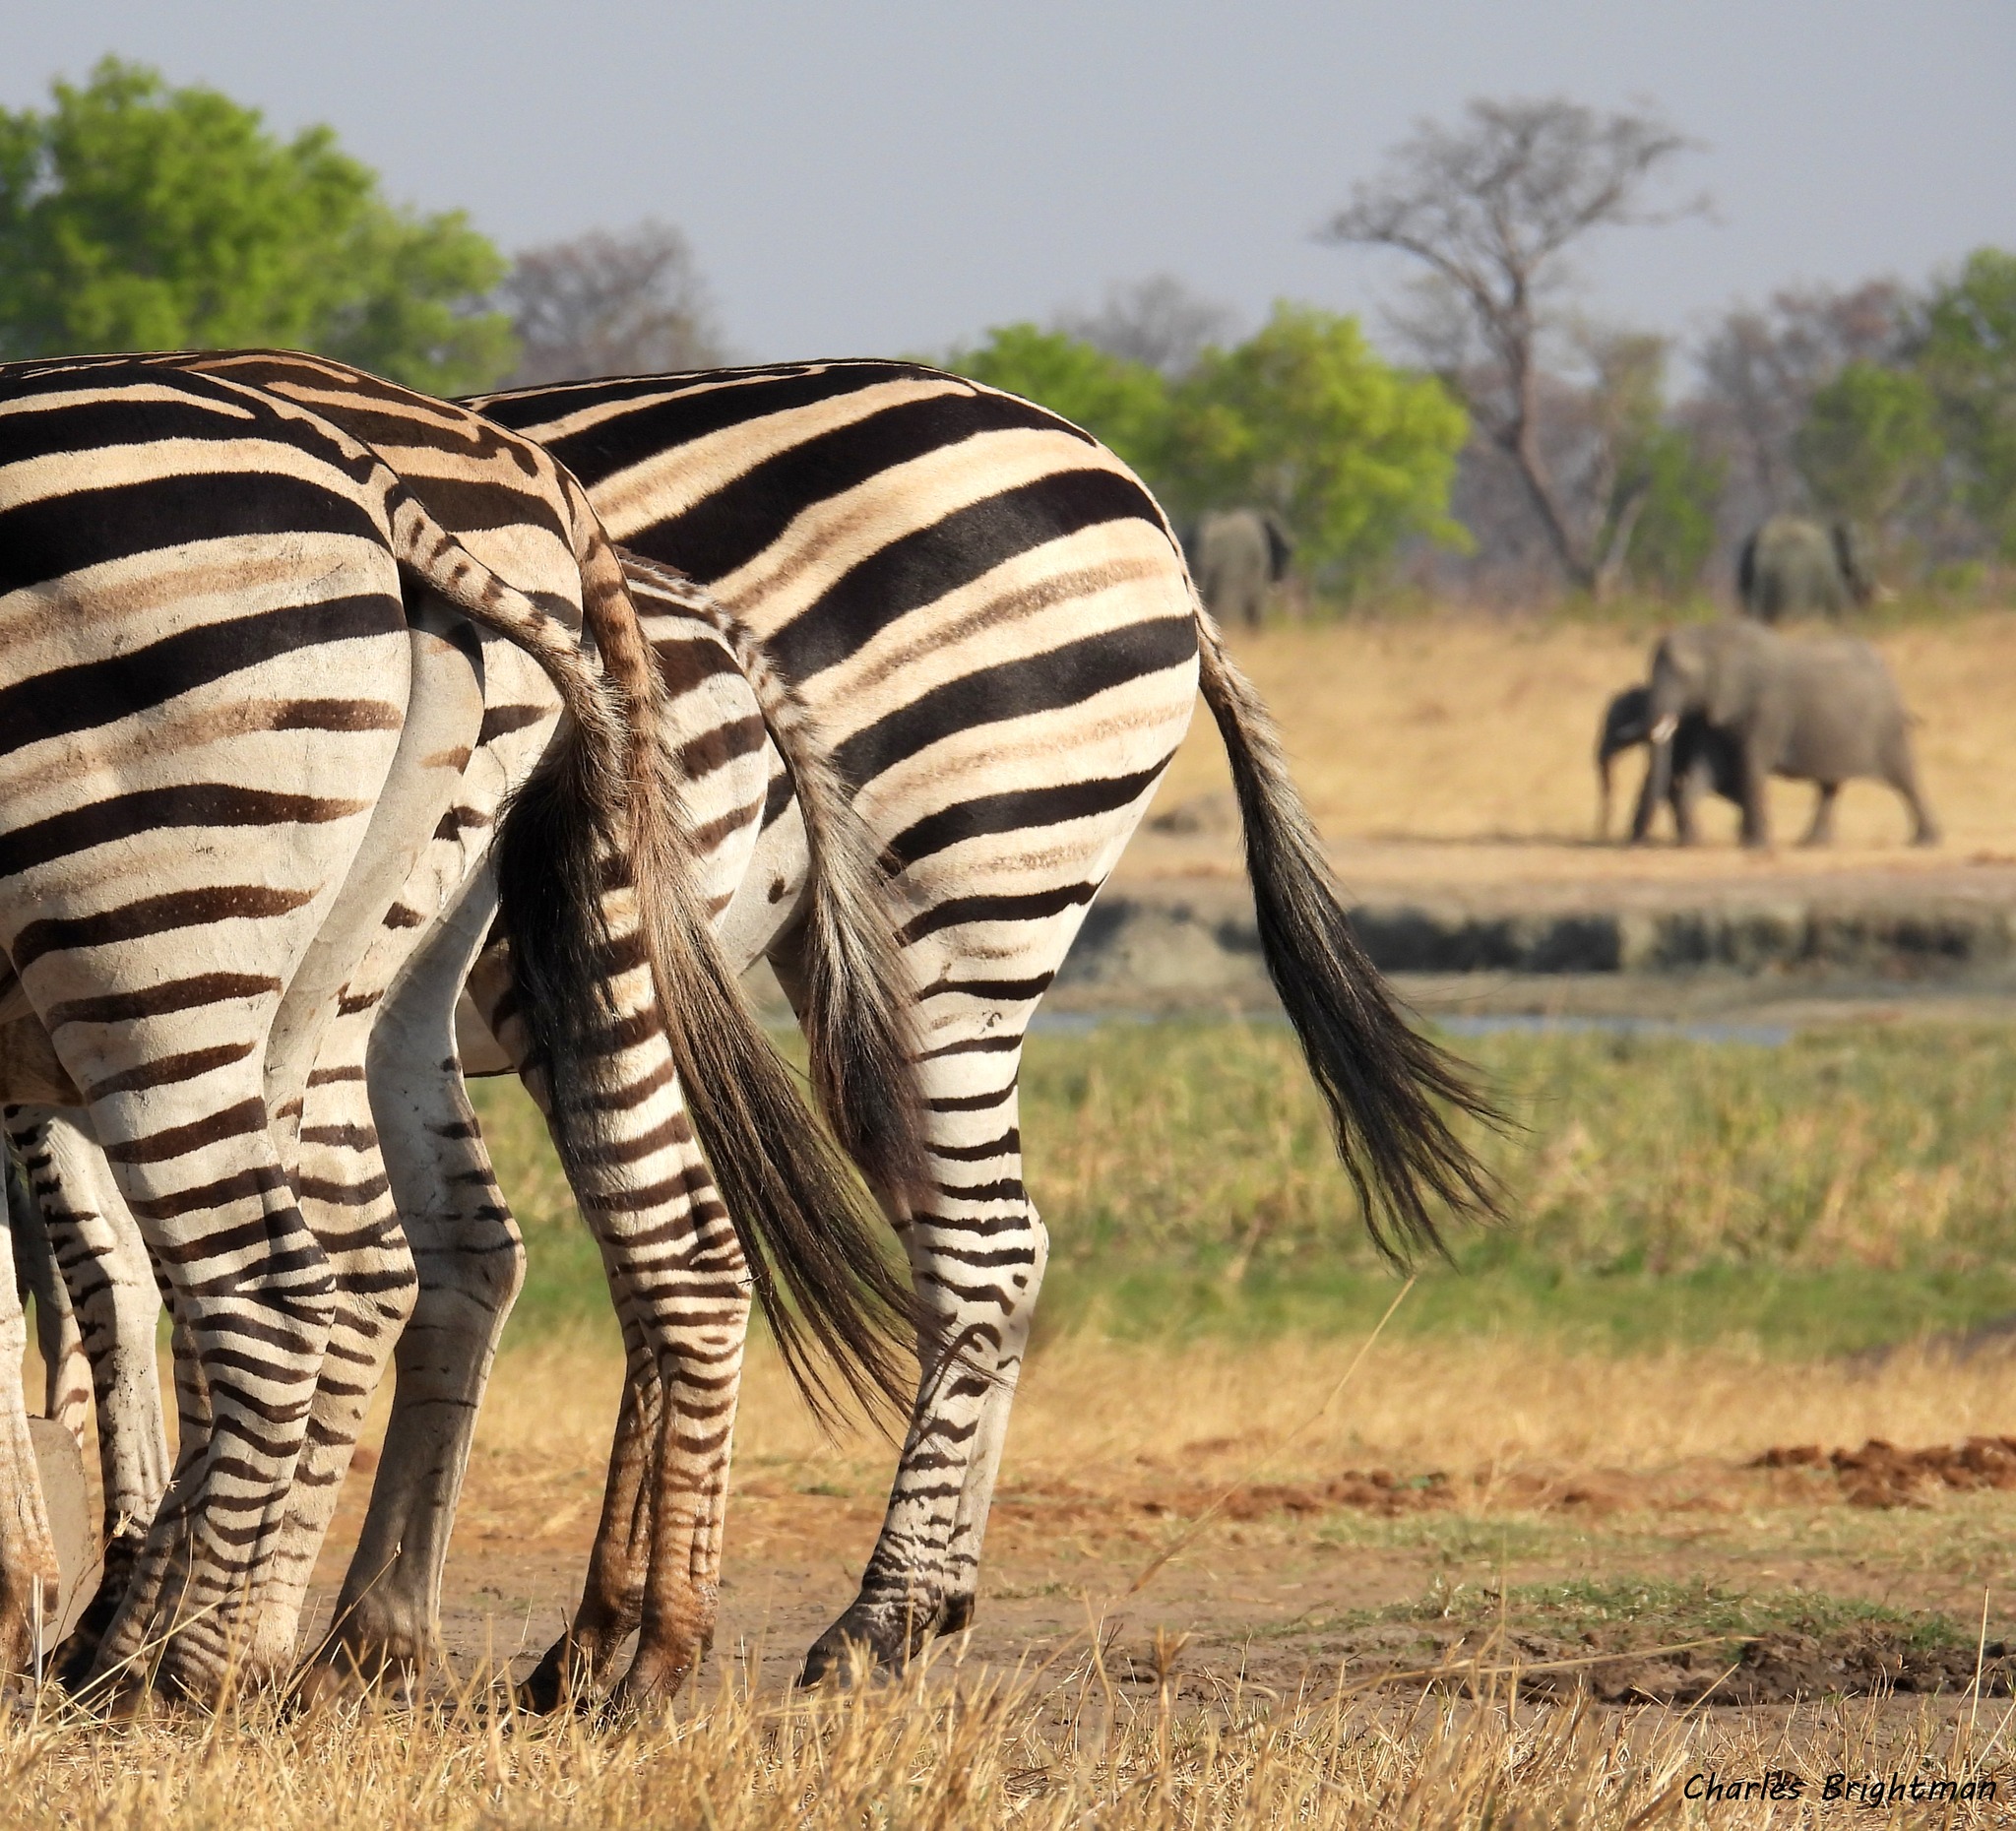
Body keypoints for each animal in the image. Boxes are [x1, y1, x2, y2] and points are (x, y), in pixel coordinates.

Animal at [1639, 621, 1937, 848]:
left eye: (1682, 674)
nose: (1646, 841)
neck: (1712, 637)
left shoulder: (1769, 708)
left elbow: (1750, 765)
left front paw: (1755, 845)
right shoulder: (1717, 708)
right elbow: (1707, 766)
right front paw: (1692, 842)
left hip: (1885, 726)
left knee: (1904, 777)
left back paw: (1925, 842)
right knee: (1829, 785)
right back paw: (1813, 844)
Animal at [1737, 514, 1875, 623]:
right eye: (1866, 560)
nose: (1868, 593)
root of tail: (1760, 549)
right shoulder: (1830, 570)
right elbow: (1841, 609)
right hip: (1791, 581)